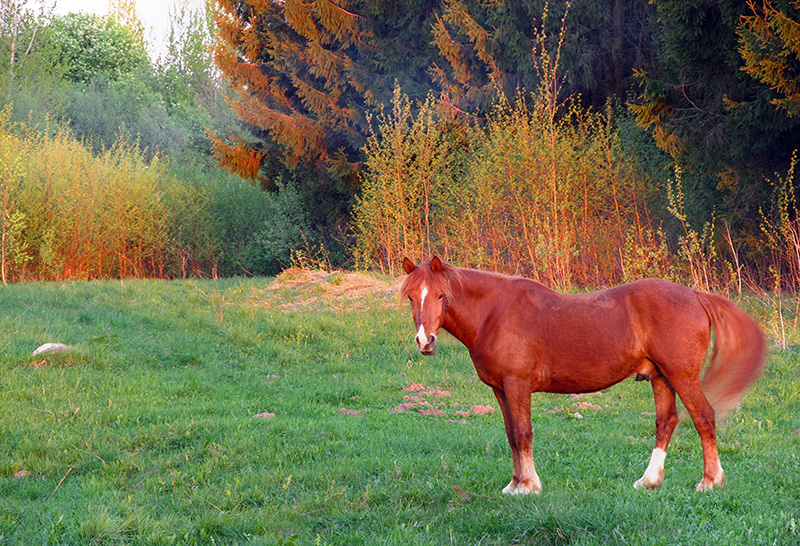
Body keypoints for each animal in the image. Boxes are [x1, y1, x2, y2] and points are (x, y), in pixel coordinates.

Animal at [404, 256, 764, 492]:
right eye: (410, 297)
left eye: (440, 295)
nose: (425, 341)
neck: (494, 314)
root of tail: (695, 295)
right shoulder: (500, 389)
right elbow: (511, 435)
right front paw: (514, 484)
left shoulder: (517, 385)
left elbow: (523, 433)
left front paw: (528, 486)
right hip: (662, 378)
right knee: (666, 423)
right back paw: (649, 480)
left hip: (682, 376)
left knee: (703, 417)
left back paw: (710, 481)